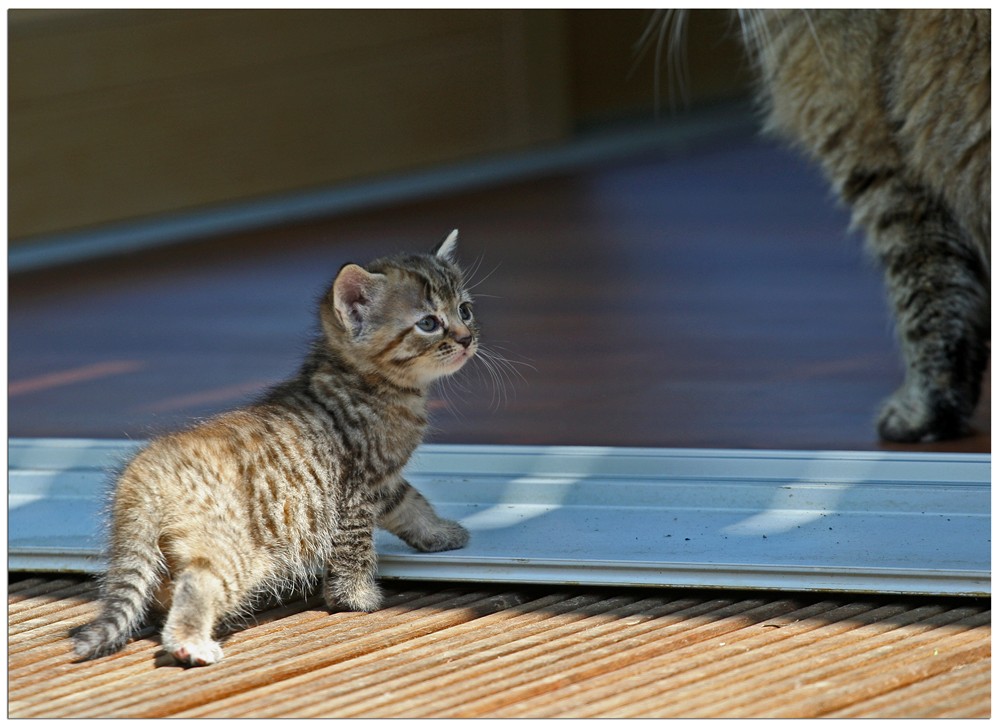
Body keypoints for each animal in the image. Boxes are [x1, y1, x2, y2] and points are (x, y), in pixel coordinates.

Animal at [71, 230, 476, 668]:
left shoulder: (384, 482)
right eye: (429, 323)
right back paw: (190, 642)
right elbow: (355, 550)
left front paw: (437, 532)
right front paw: (356, 597)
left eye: (465, 310)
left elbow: (412, 503)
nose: (467, 338)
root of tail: (143, 472)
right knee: (199, 582)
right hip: (237, 549)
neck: (374, 385)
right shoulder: (356, 491)